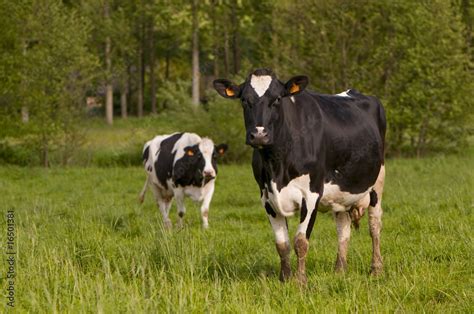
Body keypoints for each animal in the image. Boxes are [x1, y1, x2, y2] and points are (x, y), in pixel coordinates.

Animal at [213, 68, 386, 284]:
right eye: (244, 100)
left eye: (277, 99)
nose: (259, 135)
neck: (277, 165)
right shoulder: (266, 197)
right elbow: (282, 244)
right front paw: (285, 279)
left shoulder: (311, 194)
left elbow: (301, 241)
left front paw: (301, 281)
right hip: (341, 193)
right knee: (343, 228)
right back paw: (340, 270)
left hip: (377, 182)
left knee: (375, 226)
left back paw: (376, 269)